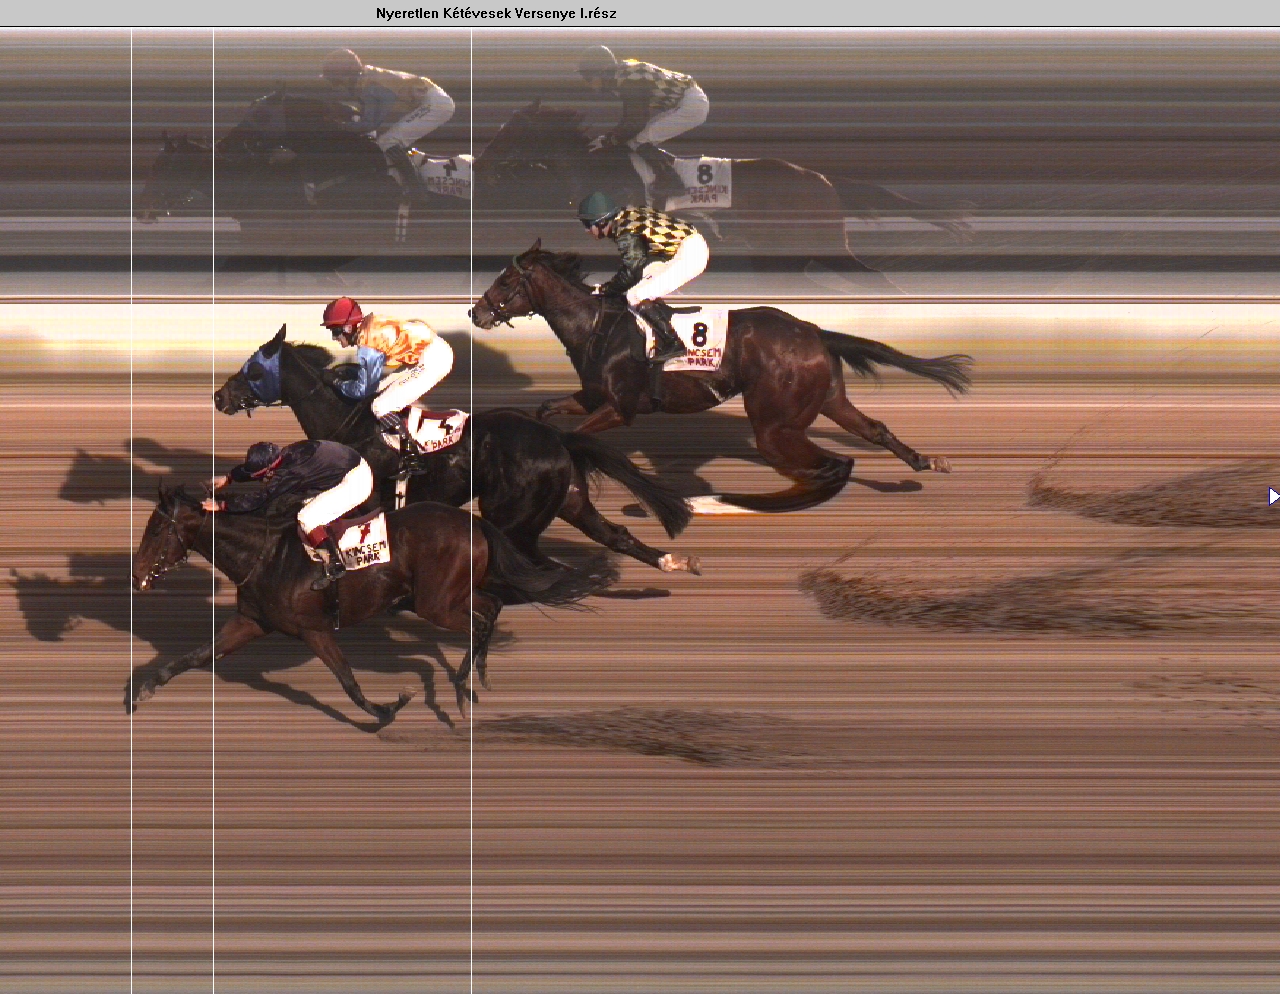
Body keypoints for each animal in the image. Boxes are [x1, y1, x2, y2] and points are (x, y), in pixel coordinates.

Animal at [128, 484, 610, 724]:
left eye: (157, 529)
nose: (135, 575)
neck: (265, 556)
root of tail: (474, 523)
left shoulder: (314, 629)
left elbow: (347, 679)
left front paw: (385, 710)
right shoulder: (251, 621)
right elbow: (195, 655)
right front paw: (142, 692)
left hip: (434, 603)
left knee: (482, 618)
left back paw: (460, 687)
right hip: (447, 596)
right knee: (491, 608)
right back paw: (476, 680)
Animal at [213, 326, 700, 575]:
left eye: (253, 369)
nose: (219, 396)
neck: (347, 423)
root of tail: (556, 436)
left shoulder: (359, 499)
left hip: (513, 514)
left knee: (537, 558)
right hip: (570, 500)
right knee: (614, 535)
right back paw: (673, 561)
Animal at [470, 242, 972, 513]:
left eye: (506, 282)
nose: (476, 313)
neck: (597, 325)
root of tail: (814, 330)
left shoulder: (620, 408)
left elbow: (576, 437)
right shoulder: (592, 397)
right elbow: (547, 411)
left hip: (775, 426)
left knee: (832, 463)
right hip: (827, 399)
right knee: (872, 429)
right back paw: (924, 462)